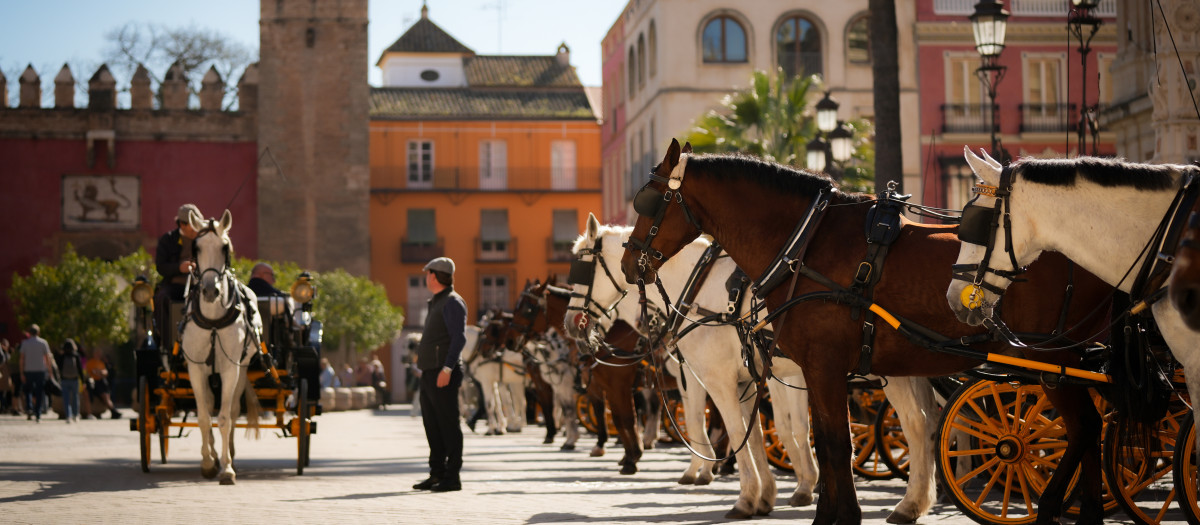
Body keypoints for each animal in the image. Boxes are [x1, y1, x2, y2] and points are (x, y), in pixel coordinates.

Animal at [177, 208, 262, 484]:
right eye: (196, 247)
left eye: (225, 247)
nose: (210, 290)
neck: (213, 319)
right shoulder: (195, 369)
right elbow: (204, 418)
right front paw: (207, 462)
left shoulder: (230, 369)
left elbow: (224, 418)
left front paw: (227, 468)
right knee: (209, 405)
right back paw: (213, 455)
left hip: (241, 369)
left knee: (233, 410)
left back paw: (228, 454)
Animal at [624, 139, 1108, 525]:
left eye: (645, 201)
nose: (631, 263)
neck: (806, 245)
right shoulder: (800, 372)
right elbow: (816, 440)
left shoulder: (813, 368)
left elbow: (832, 444)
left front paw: (832, 514)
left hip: (1052, 359)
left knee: (1084, 427)